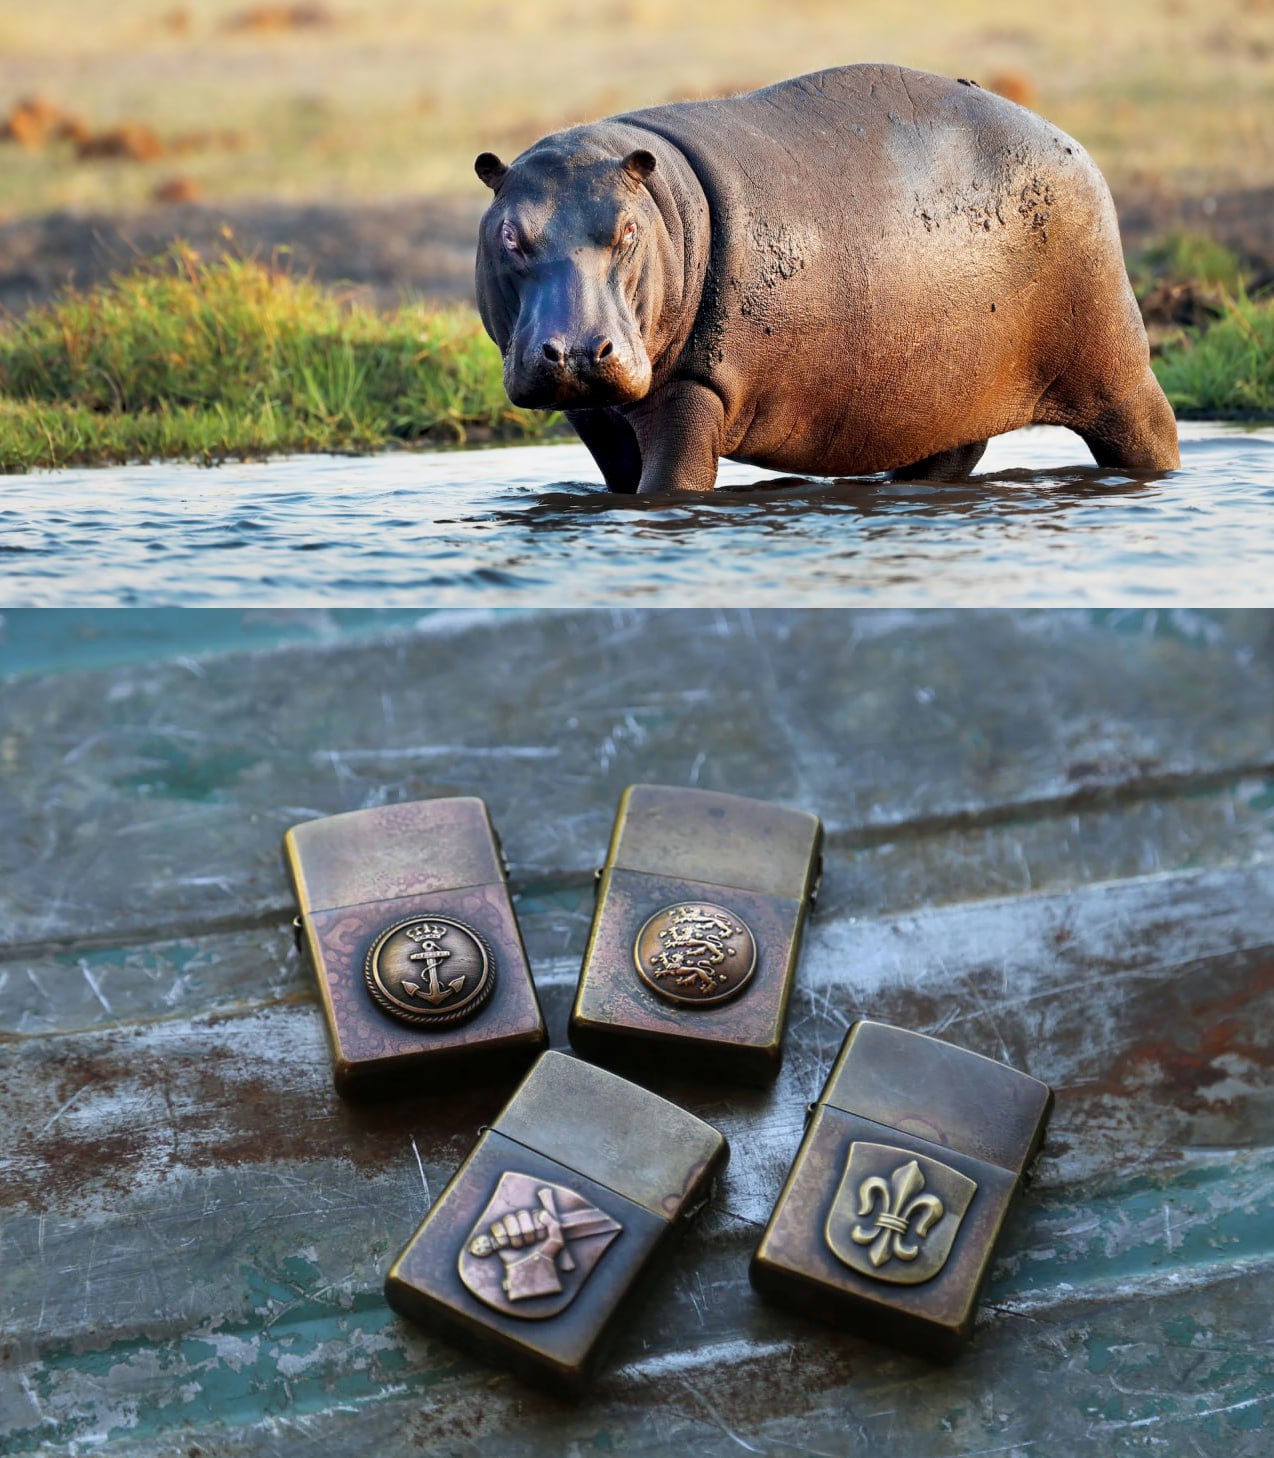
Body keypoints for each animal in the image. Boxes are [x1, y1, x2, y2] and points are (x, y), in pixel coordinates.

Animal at [474, 64, 1179, 493]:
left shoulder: (694, 389)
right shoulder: (594, 413)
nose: (576, 350)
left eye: (627, 231)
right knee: (951, 454)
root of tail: (1070, 142)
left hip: (1112, 364)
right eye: (509, 234)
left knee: (1150, 428)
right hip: (948, 392)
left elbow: (670, 484)